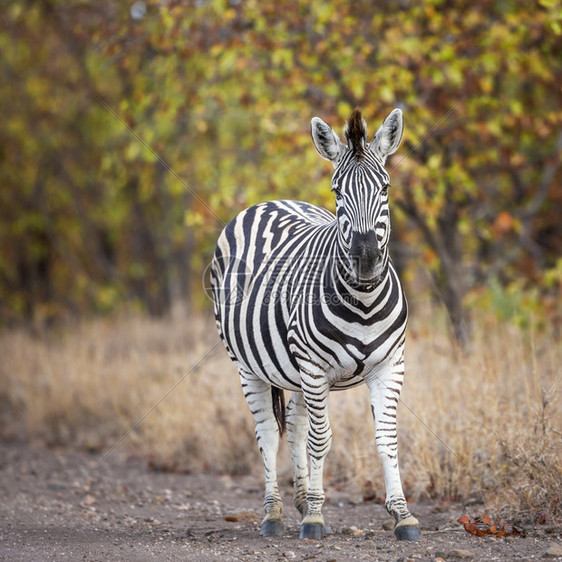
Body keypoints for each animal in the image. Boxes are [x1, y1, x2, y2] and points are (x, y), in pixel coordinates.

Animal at [210, 107, 420, 540]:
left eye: (386, 188)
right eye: (337, 192)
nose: (365, 259)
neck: (363, 301)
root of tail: (270, 201)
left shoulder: (390, 366)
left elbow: (387, 439)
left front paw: (402, 515)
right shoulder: (314, 365)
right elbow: (321, 439)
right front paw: (316, 519)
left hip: (295, 370)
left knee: (293, 422)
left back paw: (302, 499)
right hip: (250, 366)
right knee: (268, 432)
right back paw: (274, 514)